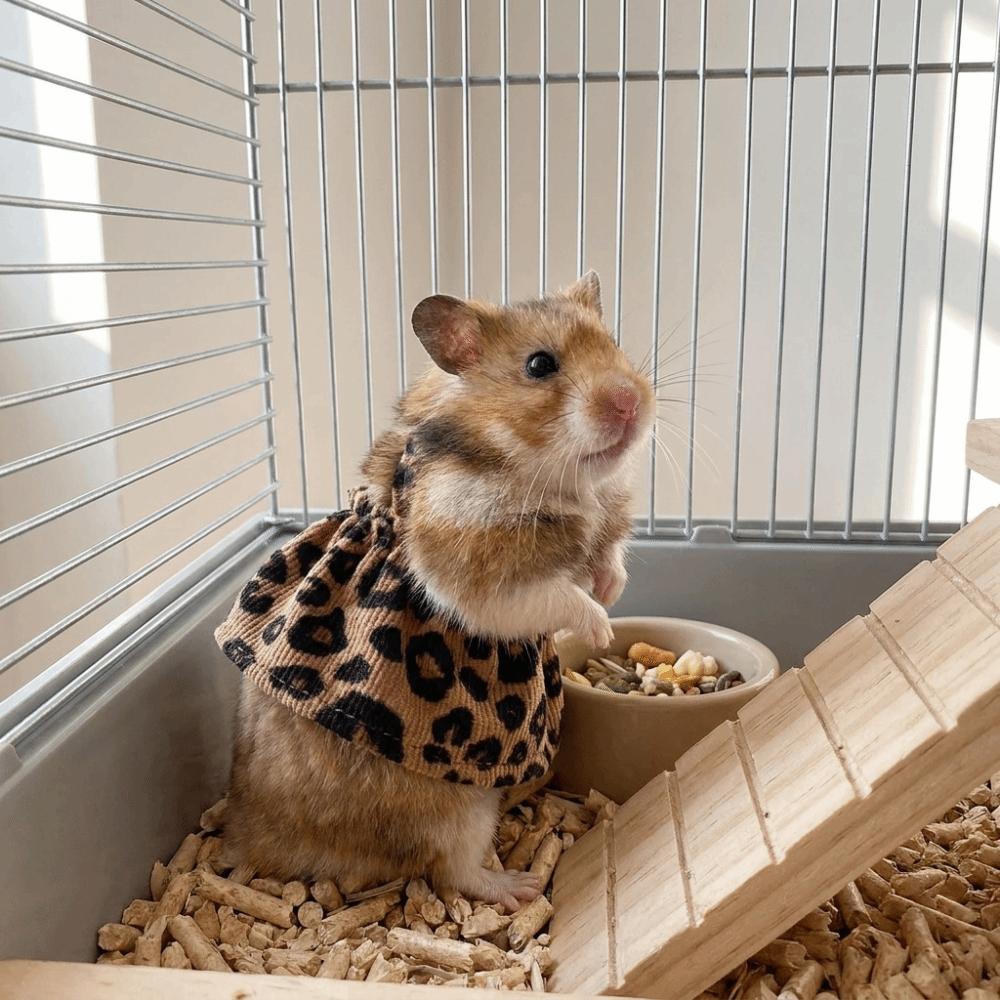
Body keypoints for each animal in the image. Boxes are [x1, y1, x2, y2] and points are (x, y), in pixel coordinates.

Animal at [223, 271, 654, 910]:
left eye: (616, 344)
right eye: (539, 365)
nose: (631, 401)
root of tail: (249, 838)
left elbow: (607, 560)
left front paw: (610, 587)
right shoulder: (472, 576)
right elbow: (552, 596)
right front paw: (600, 628)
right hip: (456, 810)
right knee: (452, 871)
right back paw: (520, 888)